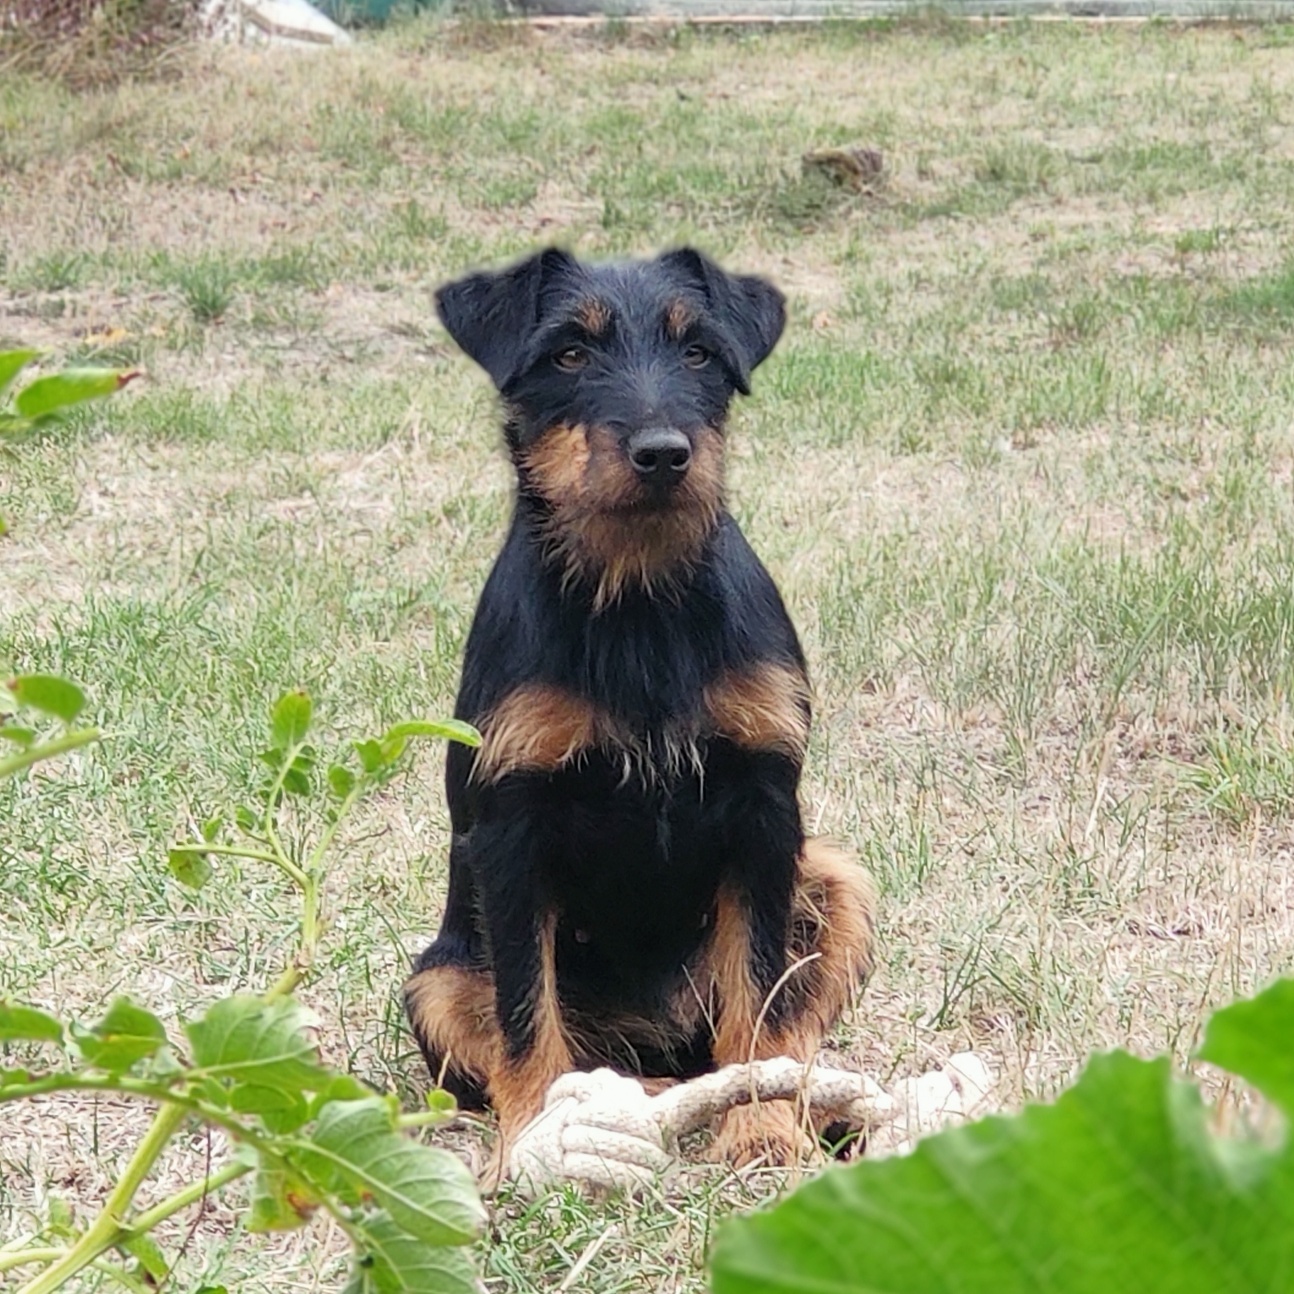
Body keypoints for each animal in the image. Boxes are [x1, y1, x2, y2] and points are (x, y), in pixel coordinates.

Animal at [403, 247, 879, 1169]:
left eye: (698, 353)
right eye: (569, 354)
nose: (664, 454)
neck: (638, 599)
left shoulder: (765, 812)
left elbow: (760, 999)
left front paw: (761, 1127)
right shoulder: (511, 832)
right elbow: (526, 1014)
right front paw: (538, 1135)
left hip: (836, 879)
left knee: (782, 1030)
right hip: (436, 979)